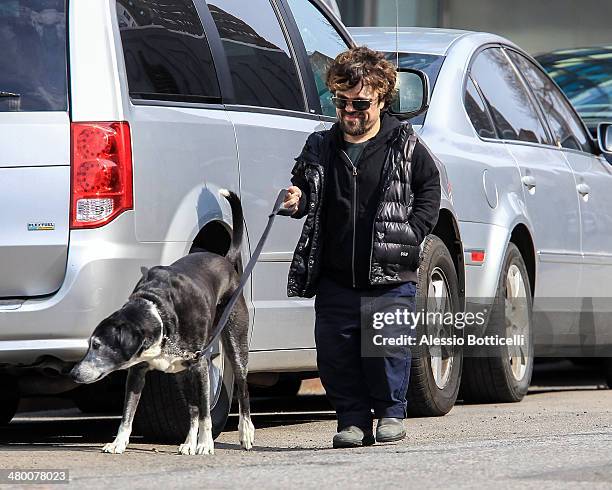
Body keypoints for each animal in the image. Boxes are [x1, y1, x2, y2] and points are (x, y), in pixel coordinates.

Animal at [70, 189, 252, 456]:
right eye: (90, 344)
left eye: (98, 345)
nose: (73, 373)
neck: (160, 314)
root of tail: (226, 261)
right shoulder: (137, 371)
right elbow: (128, 413)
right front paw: (119, 442)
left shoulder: (200, 365)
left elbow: (206, 413)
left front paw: (206, 444)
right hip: (180, 372)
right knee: (192, 409)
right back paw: (188, 442)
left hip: (234, 343)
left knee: (241, 386)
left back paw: (245, 432)